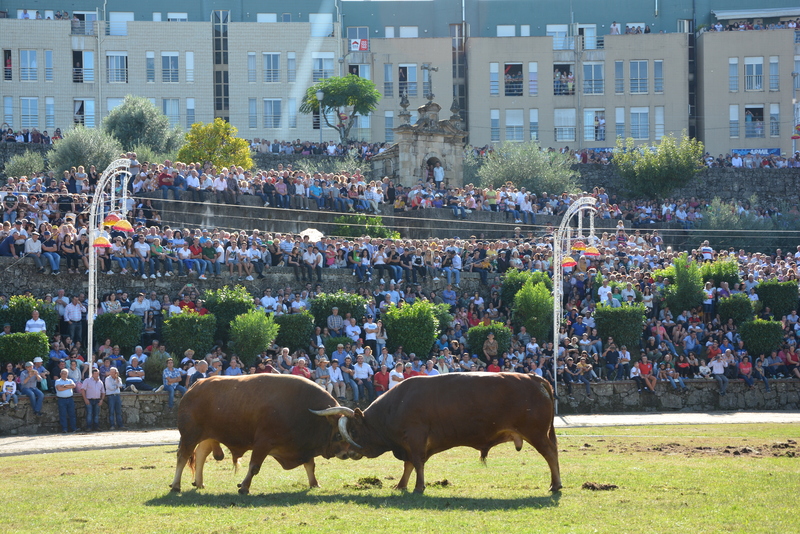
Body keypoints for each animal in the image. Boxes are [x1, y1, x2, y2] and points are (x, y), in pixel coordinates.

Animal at [170, 374, 354, 496]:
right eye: (339, 435)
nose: (347, 453)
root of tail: (195, 385)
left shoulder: (302, 447)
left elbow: (310, 465)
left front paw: (315, 484)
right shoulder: (263, 443)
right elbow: (254, 466)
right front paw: (244, 487)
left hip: (208, 436)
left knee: (201, 454)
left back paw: (199, 483)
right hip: (189, 436)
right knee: (182, 456)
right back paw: (176, 485)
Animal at [320, 372, 564, 494]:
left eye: (353, 430)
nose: (348, 453)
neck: (396, 405)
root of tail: (534, 378)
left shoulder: (416, 438)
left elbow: (416, 463)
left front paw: (419, 487)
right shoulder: (409, 443)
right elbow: (409, 465)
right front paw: (401, 485)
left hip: (537, 433)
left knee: (551, 454)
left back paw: (555, 485)